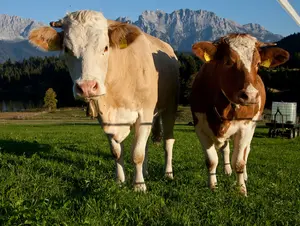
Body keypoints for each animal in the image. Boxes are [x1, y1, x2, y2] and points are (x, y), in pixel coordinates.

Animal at [28, 10, 178, 191]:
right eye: (67, 49)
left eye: (105, 47)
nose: (86, 87)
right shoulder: (104, 117)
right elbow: (117, 152)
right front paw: (120, 180)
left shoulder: (144, 113)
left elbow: (137, 153)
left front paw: (139, 185)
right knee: (148, 144)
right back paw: (146, 172)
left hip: (170, 107)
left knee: (168, 141)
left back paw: (168, 174)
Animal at [190, 34, 288, 196]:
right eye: (228, 61)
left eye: (258, 63)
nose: (251, 95)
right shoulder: (200, 127)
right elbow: (211, 161)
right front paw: (213, 186)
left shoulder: (245, 128)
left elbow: (239, 162)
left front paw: (241, 189)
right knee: (225, 149)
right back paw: (227, 170)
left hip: (252, 127)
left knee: (246, 151)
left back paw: (244, 176)